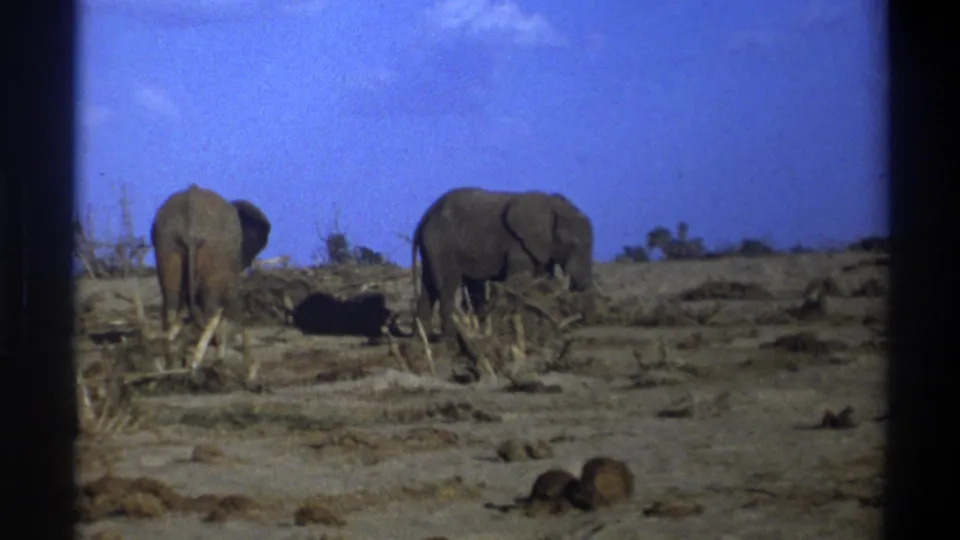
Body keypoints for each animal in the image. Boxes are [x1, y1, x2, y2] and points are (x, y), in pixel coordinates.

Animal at [150, 184, 271, 370]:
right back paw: (197, 364)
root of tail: (191, 227)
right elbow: (231, 303)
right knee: (210, 309)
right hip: (214, 252)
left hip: (167, 246)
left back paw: (173, 365)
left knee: (171, 305)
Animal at [411, 187, 594, 343]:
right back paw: (450, 341)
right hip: (441, 244)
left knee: (429, 287)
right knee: (447, 287)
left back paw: (425, 338)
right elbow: (520, 281)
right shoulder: (517, 244)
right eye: (572, 244)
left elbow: (538, 283)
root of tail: (423, 219)